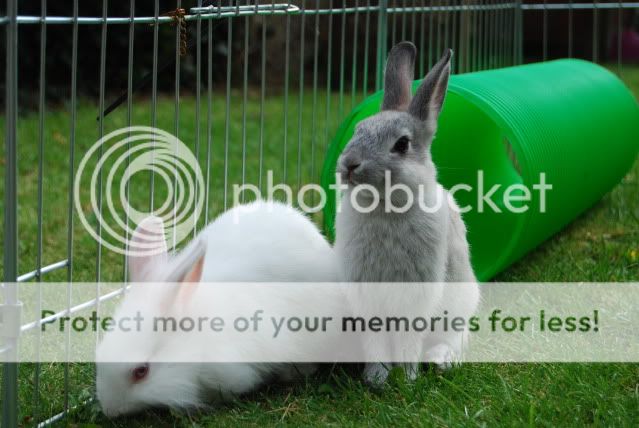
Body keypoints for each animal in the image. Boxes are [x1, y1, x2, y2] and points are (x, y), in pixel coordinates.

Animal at [336, 42, 480, 384]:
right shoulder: (365, 294)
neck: (384, 204)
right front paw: (376, 377)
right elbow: (374, 338)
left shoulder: (416, 294)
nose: (348, 164)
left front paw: (408, 377)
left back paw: (441, 360)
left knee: (455, 337)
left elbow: (407, 337)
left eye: (402, 144)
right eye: (358, 129)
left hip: (461, 304)